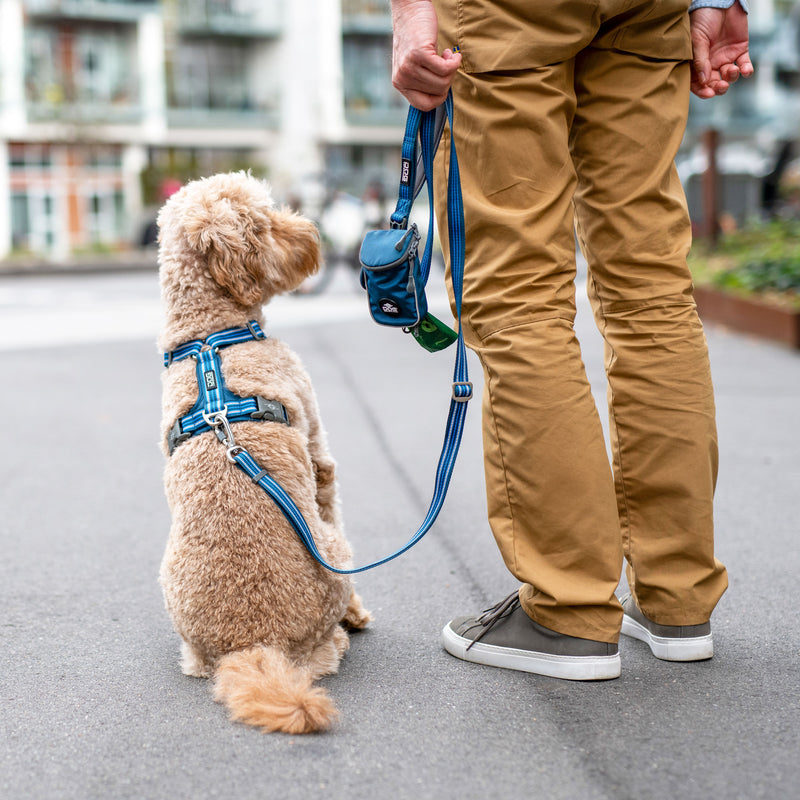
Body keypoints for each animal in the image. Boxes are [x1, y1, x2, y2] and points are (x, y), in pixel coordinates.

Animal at [156, 172, 372, 736]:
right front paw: (360, 612)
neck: (208, 337)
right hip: (335, 556)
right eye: (261, 224)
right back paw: (344, 629)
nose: (312, 230)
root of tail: (253, 645)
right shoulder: (319, 452)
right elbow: (329, 493)